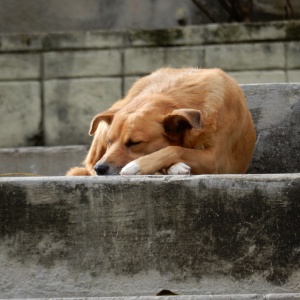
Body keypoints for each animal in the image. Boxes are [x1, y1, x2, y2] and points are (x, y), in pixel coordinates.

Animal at [67, 68, 256, 176]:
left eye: (134, 143)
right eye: (109, 141)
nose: (101, 168)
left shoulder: (214, 159)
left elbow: (174, 148)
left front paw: (136, 165)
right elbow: (175, 149)